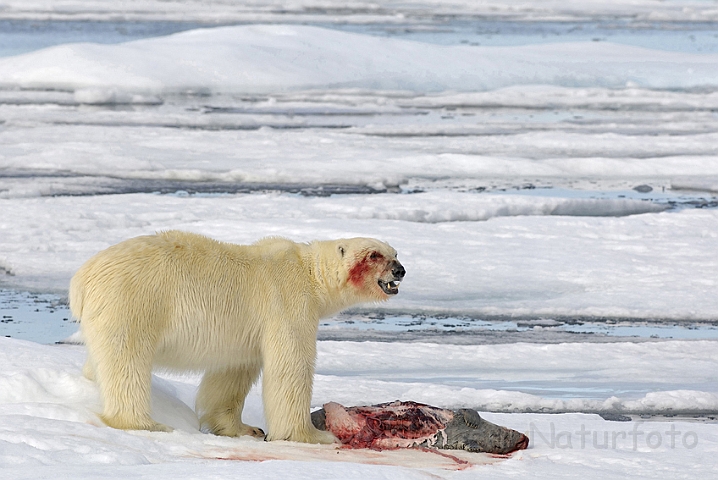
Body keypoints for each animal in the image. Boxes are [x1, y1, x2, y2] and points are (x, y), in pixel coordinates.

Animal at [70, 231, 408, 444]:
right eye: (374, 254)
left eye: (395, 252)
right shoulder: (287, 302)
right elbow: (290, 367)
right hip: (133, 301)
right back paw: (146, 423)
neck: (309, 273)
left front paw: (244, 429)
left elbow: (232, 372)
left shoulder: (245, 332)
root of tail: (81, 278)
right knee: (126, 362)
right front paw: (314, 435)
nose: (400, 270)